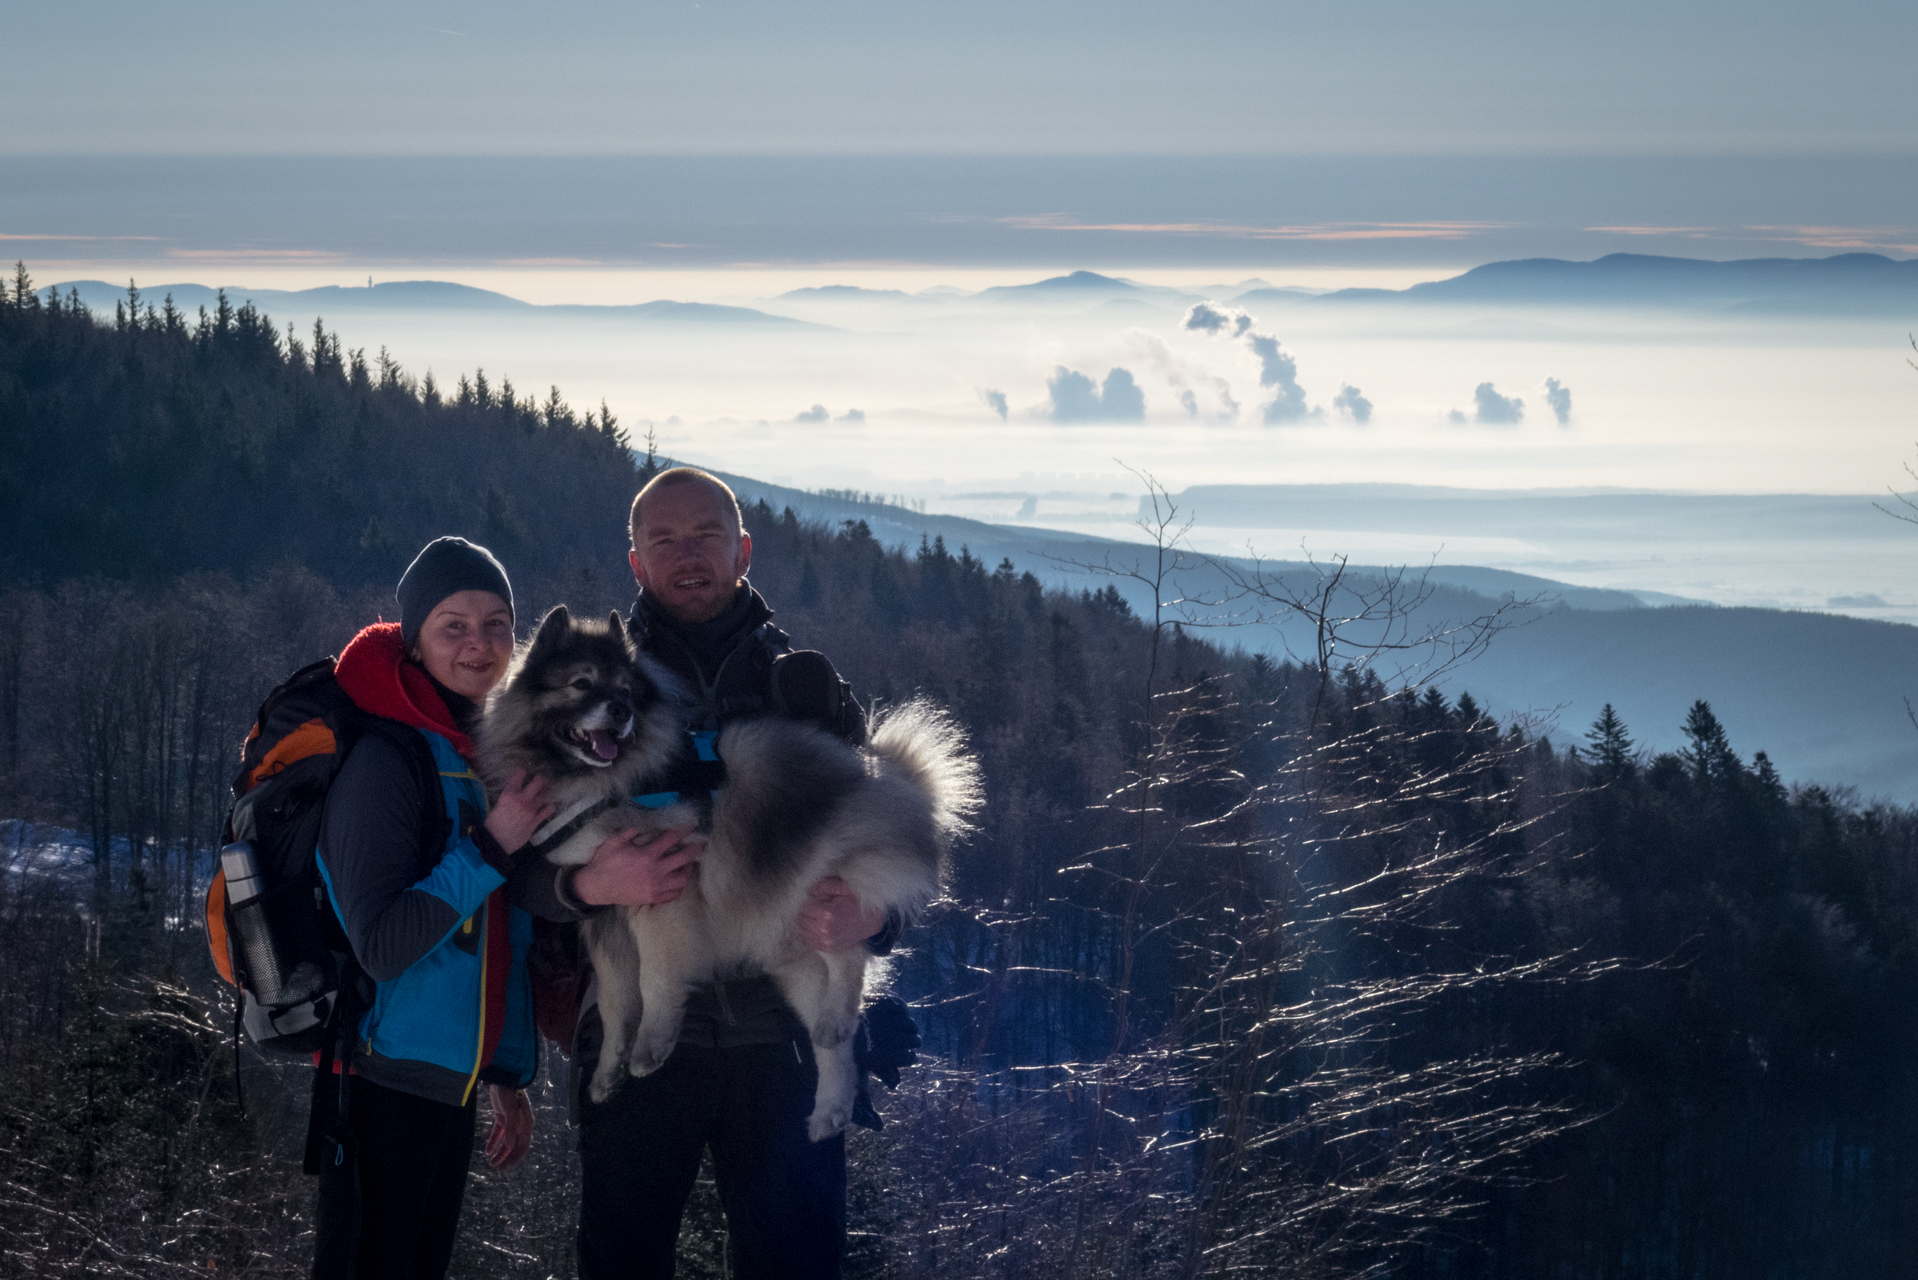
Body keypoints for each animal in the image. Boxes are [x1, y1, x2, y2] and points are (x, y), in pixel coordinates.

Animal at [479, 610, 974, 1143]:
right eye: (581, 684)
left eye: (626, 690)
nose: (620, 711)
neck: (598, 784)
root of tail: (893, 782)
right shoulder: (603, 909)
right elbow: (614, 1000)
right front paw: (608, 1072)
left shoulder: (663, 893)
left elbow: (653, 980)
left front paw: (650, 1047)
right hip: (790, 954)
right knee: (832, 1045)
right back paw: (830, 1104)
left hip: (816, 887)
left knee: (849, 952)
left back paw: (838, 1018)